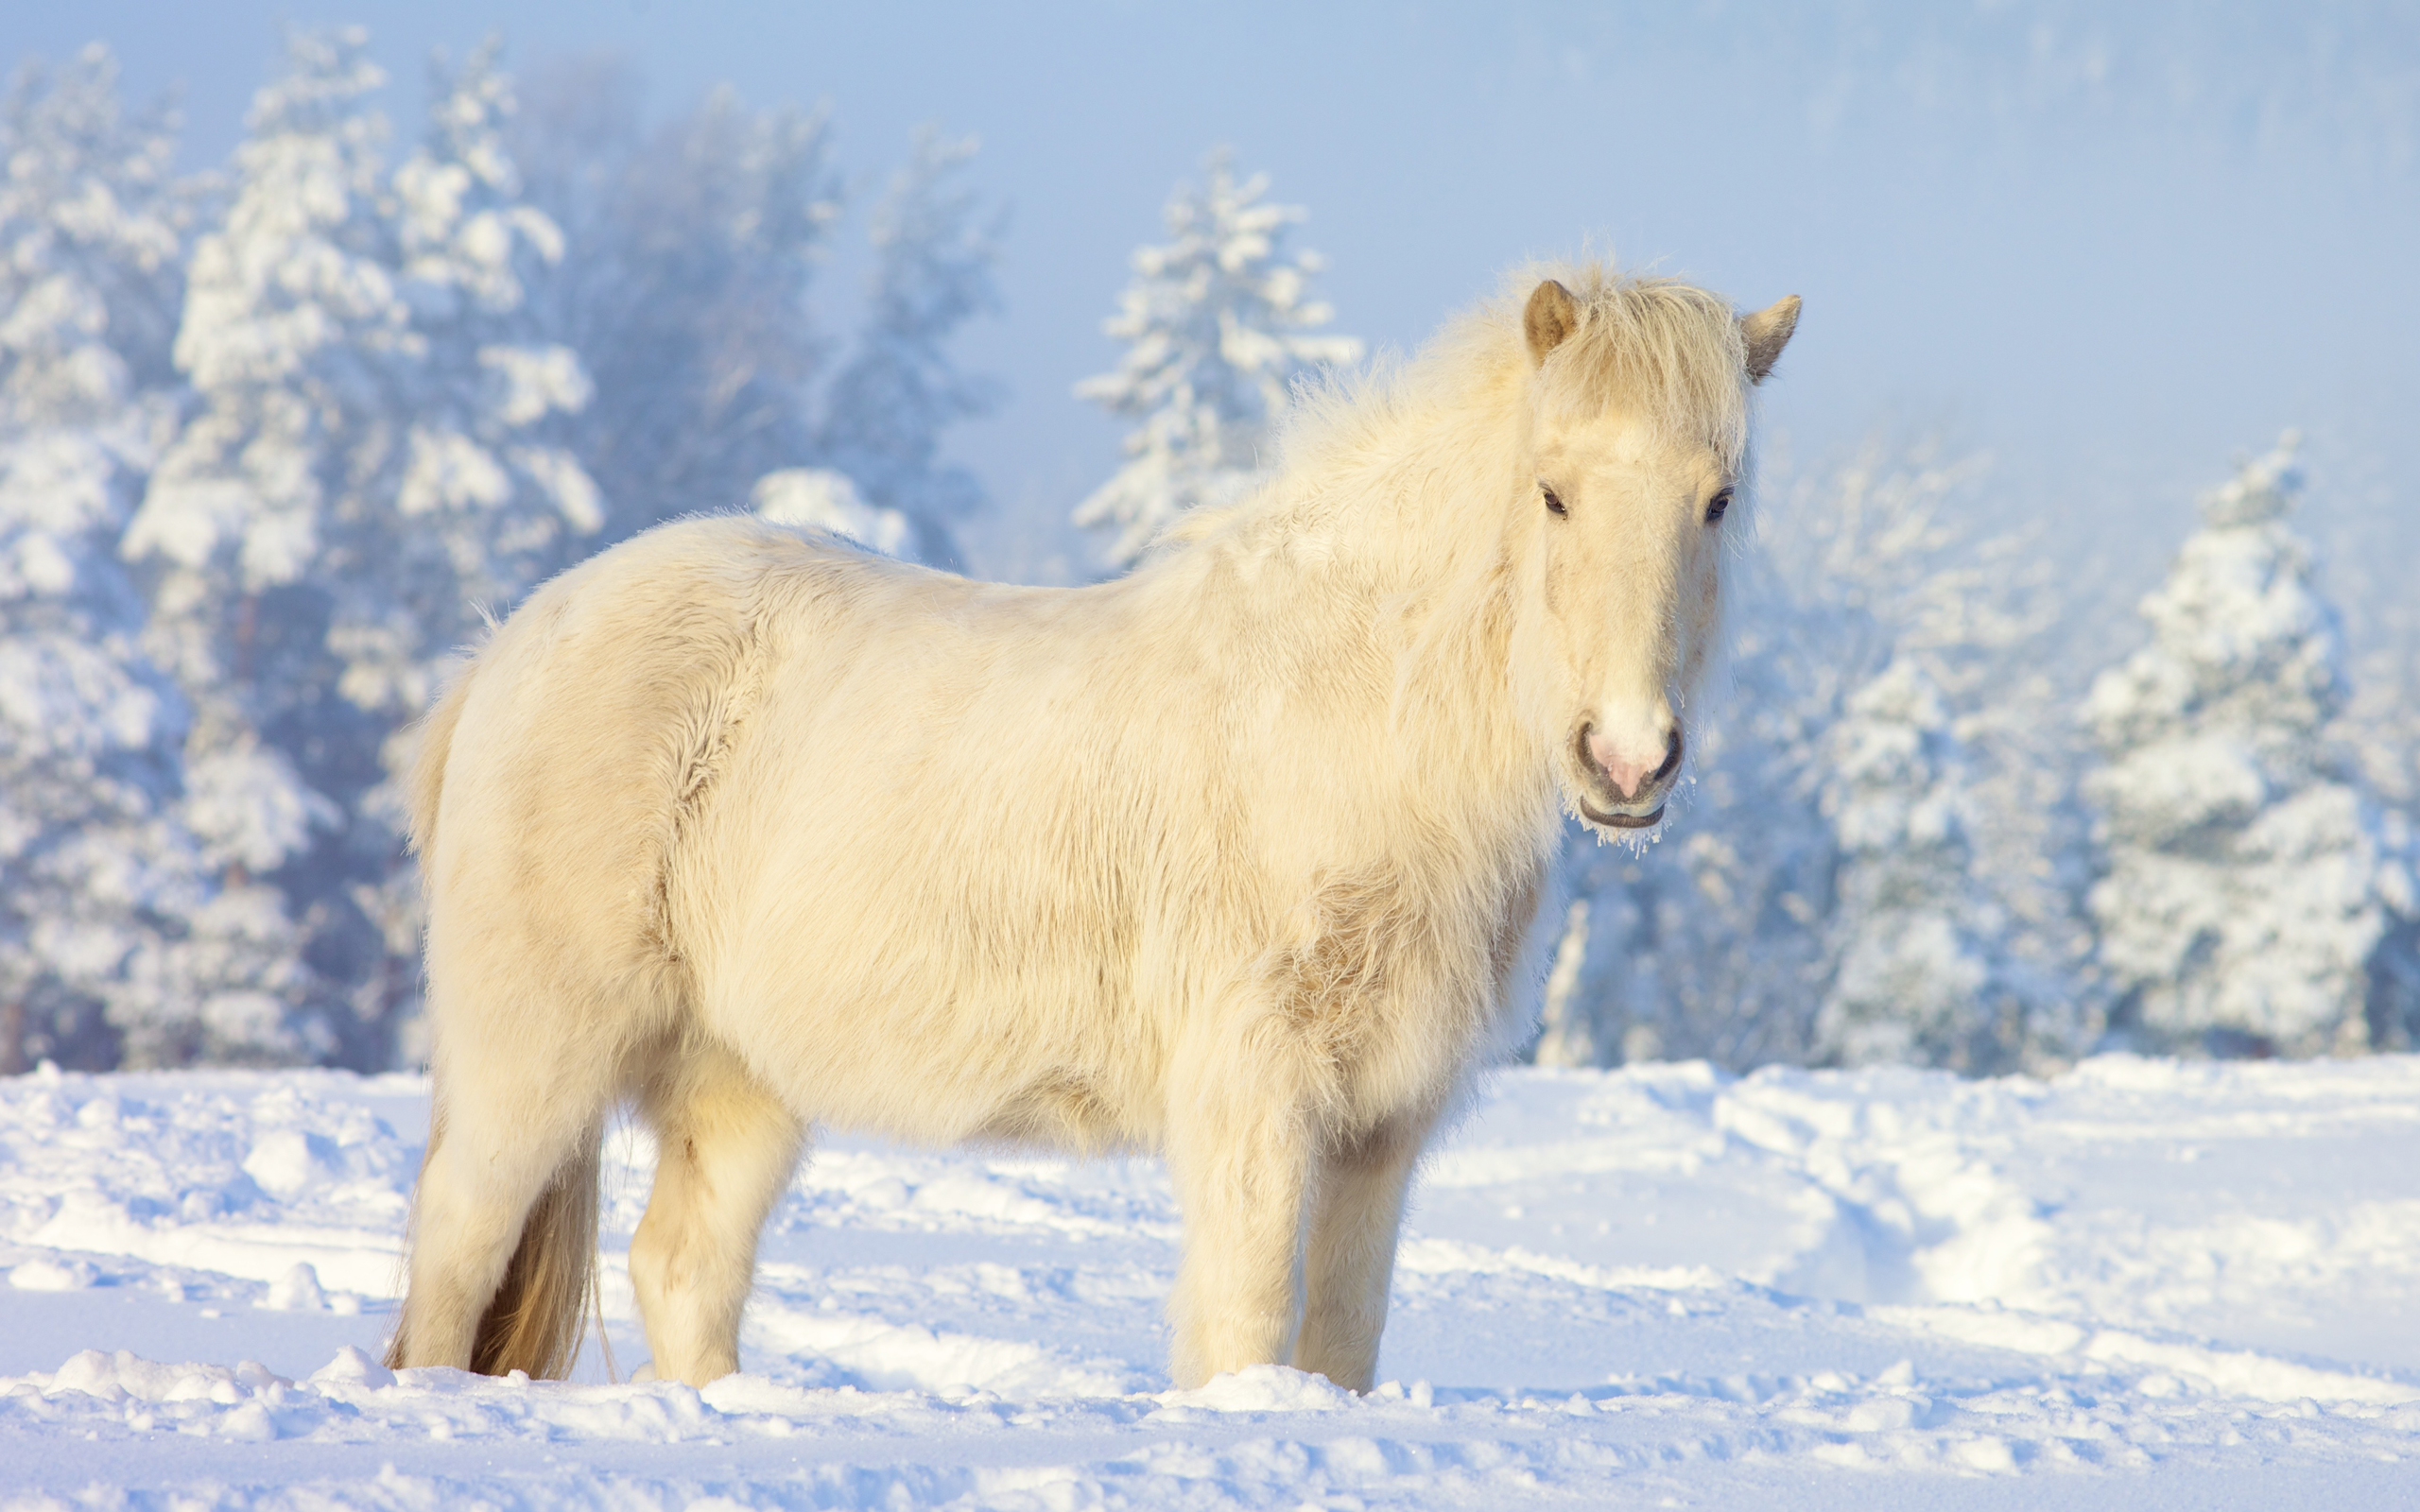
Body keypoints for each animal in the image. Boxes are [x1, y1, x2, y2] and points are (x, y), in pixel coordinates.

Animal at [387, 268, 1790, 1393]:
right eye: (1551, 495)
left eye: (1719, 500)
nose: (1627, 758)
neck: (1348, 712)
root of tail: (506, 647)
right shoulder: (1253, 1097)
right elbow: (1244, 1322)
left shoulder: (1379, 1130)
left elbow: (1337, 1340)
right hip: (535, 1056)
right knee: (456, 1244)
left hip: (738, 1080)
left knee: (683, 1269)